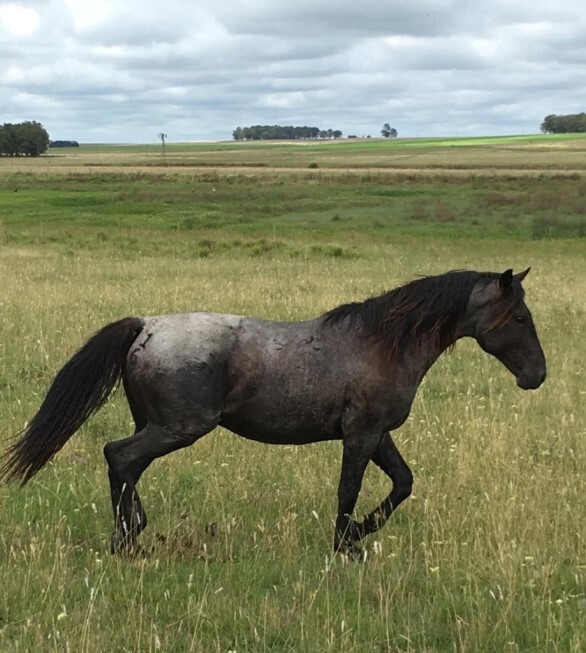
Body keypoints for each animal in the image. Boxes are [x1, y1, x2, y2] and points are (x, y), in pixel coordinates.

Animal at [2, 268, 544, 556]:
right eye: (519, 317)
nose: (536, 375)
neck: (382, 344)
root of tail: (146, 326)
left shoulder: (378, 434)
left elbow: (403, 483)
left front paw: (358, 534)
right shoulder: (361, 435)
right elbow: (349, 489)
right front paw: (344, 544)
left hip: (157, 425)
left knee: (128, 465)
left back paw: (132, 531)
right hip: (180, 427)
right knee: (119, 456)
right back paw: (127, 537)